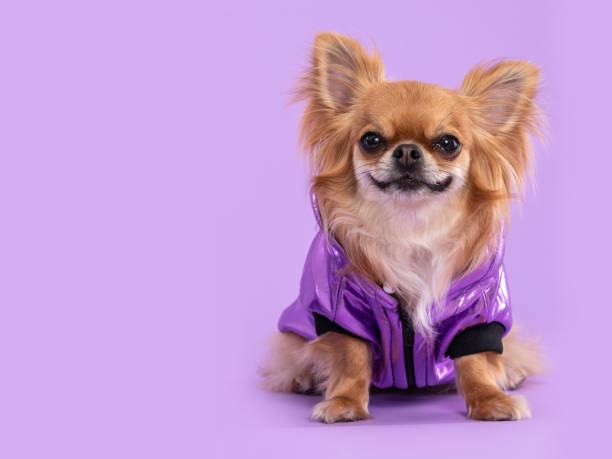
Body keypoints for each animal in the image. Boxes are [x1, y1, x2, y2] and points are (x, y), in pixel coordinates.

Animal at [260, 32, 544, 424]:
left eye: (448, 143)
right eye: (371, 140)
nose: (408, 151)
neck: (410, 227)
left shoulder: (477, 313)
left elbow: (475, 362)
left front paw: (489, 399)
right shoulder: (343, 312)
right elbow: (350, 358)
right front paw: (344, 402)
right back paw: (306, 377)